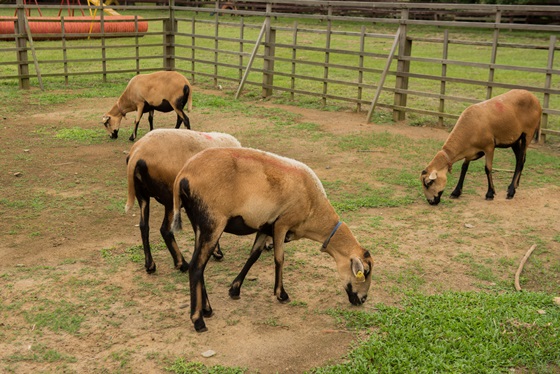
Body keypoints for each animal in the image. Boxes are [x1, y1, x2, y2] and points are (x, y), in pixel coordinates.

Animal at [126, 129, 242, 274]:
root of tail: (137, 153)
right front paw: (216, 252)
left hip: (142, 195)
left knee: (143, 226)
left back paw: (150, 265)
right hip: (170, 198)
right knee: (165, 229)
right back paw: (182, 264)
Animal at [171, 148, 372, 332]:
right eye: (366, 272)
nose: (362, 300)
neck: (314, 211)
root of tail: (182, 175)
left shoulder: (265, 227)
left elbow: (253, 255)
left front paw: (235, 289)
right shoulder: (282, 224)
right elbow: (279, 259)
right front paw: (281, 294)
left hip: (199, 224)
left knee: (200, 266)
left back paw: (207, 309)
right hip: (213, 222)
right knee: (196, 267)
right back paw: (198, 320)